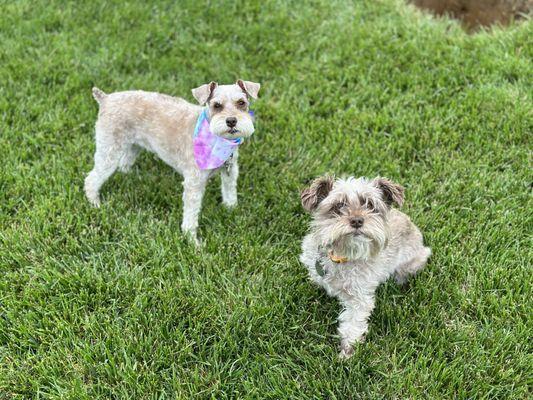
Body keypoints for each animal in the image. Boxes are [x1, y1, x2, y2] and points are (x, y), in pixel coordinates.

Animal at [84, 80, 260, 244]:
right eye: (217, 105)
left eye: (241, 102)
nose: (231, 121)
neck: (218, 140)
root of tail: (106, 98)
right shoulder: (193, 183)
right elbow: (191, 216)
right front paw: (193, 241)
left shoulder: (230, 170)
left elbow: (229, 192)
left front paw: (232, 210)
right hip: (109, 150)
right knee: (91, 180)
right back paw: (96, 204)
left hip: (132, 145)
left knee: (124, 164)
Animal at [298, 177, 430, 358]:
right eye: (339, 205)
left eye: (370, 205)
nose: (357, 221)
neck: (341, 256)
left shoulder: (359, 298)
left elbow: (352, 324)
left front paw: (347, 351)